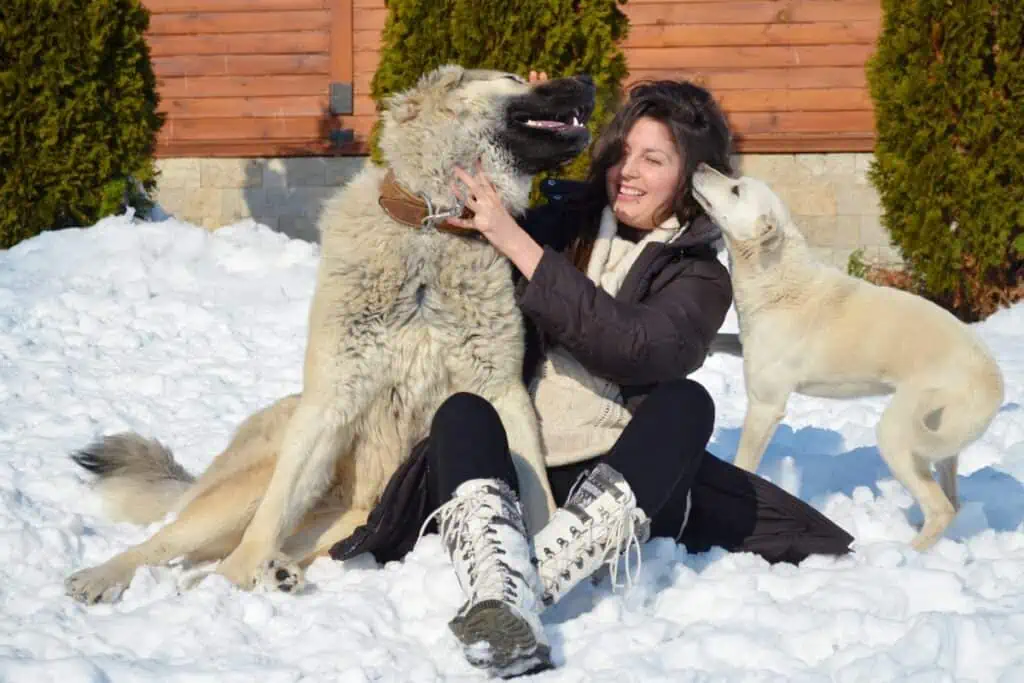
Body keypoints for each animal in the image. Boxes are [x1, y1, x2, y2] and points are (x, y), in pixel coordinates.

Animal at [64, 65, 598, 602]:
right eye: (514, 77)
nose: (589, 80)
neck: (431, 227)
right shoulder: (331, 401)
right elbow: (268, 518)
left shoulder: (501, 392)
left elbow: (539, 490)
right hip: (251, 488)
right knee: (175, 540)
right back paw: (108, 577)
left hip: (344, 522)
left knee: (220, 559)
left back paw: (268, 575)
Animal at [692, 163, 1003, 548]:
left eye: (736, 190)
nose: (700, 166)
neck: (778, 278)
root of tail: (994, 379)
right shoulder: (748, 347)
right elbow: (725, 339)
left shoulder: (765, 405)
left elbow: (743, 463)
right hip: (942, 441)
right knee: (953, 501)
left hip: (897, 433)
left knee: (941, 508)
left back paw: (906, 554)